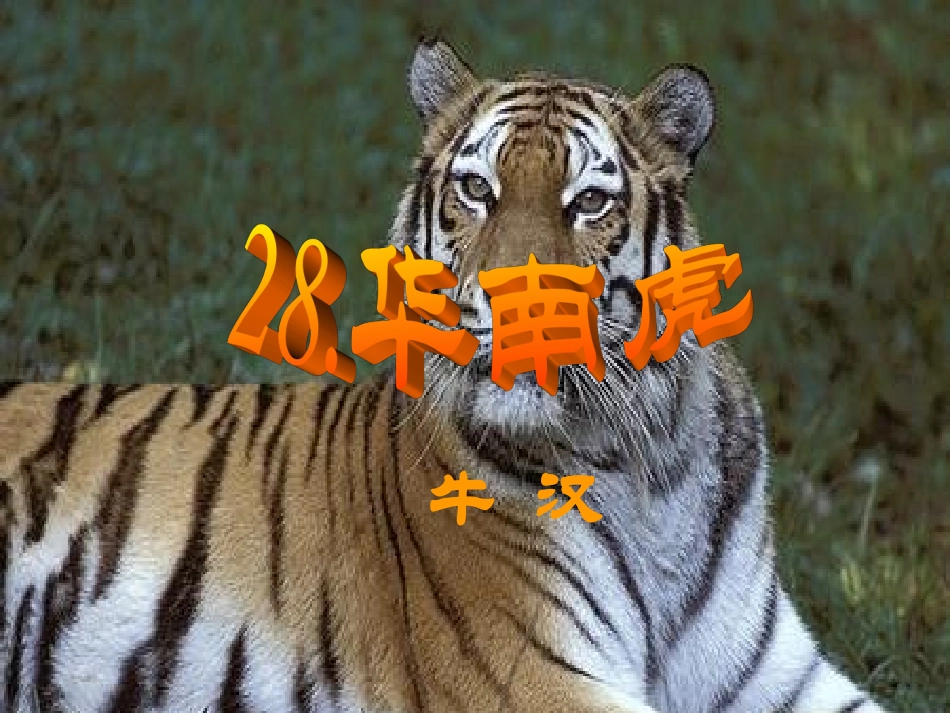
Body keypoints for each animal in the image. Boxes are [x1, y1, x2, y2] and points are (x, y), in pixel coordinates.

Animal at [0, 38, 890, 713]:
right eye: (477, 188)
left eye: (588, 202)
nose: (515, 300)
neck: (652, 466)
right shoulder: (531, 674)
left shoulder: (772, 673)